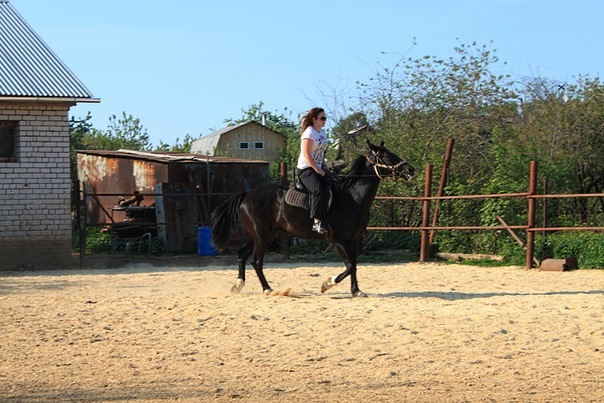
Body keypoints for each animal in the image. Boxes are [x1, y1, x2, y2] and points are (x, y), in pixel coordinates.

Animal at [210, 140, 415, 297]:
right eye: (387, 156)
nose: (411, 169)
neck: (352, 196)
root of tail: (247, 195)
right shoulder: (338, 240)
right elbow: (349, 266)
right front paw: (327, 284)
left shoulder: (352, 240)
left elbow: (355, 266)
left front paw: (356, 291)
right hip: (261, 235)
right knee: (256, 261)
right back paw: (268, 290)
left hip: (265, 235)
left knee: (242, 255)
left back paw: (238, 285)